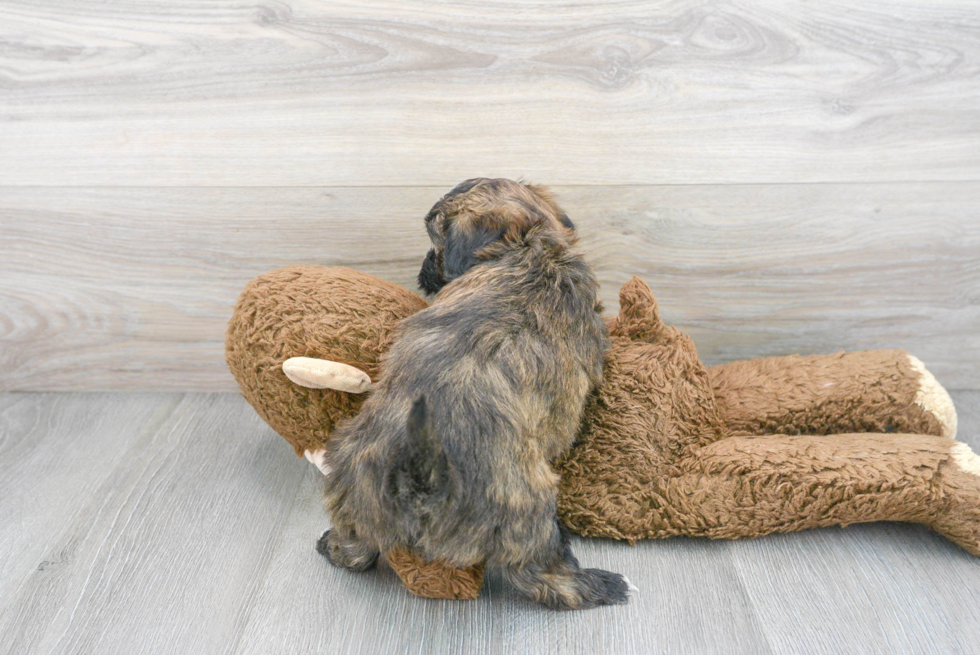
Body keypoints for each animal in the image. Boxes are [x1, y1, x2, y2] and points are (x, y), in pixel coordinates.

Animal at [318, 178, 632, 608]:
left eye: (435, 243)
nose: (423, 269)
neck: (532, 246)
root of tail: (422, 479)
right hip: (529, 509)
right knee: (544, 574)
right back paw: (602, 584)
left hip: (350, 471)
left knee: (355, 543)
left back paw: (334, 545)